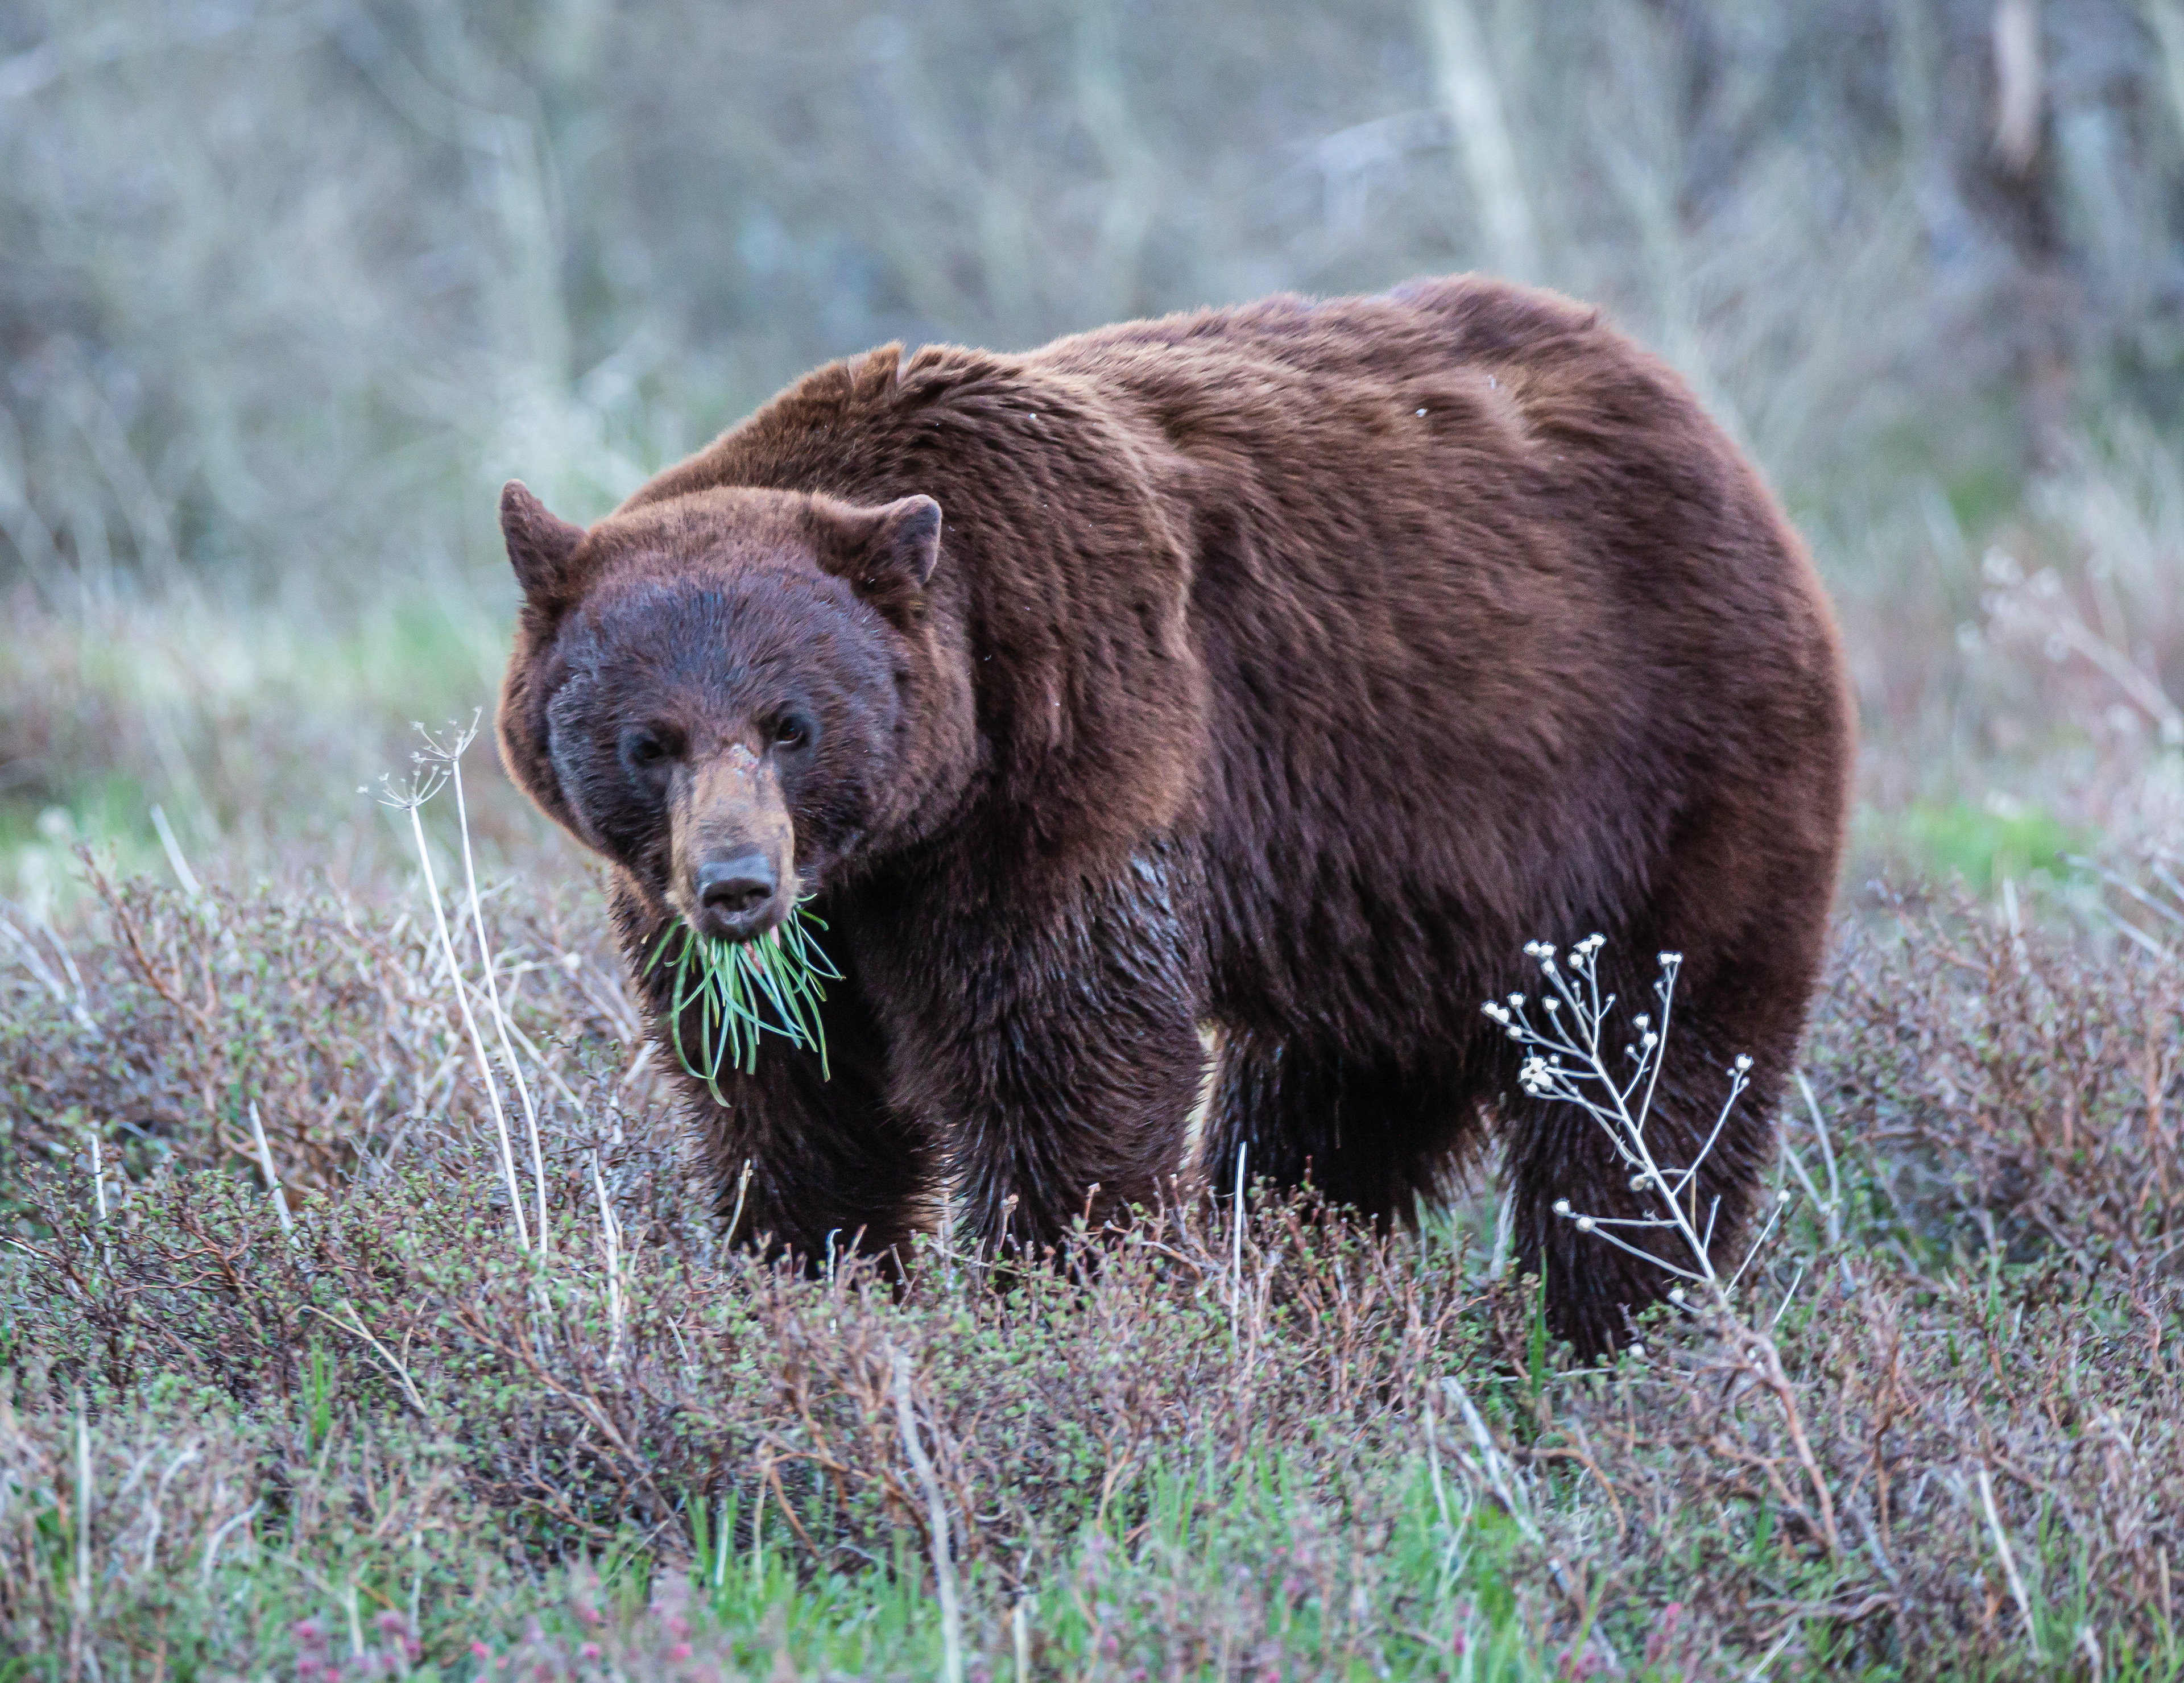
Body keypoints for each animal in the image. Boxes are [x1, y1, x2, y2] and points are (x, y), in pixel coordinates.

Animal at [496, 274, 1853, 1352]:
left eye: (792, 724)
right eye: (650, 741)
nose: (737, 883)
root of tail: (1702, 429)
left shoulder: (1073, 760)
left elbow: (1065, 1060)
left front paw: (1052, 1300)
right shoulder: (768, 912)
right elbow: (786, 1092)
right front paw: (810, 1277)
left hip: (1661, 784)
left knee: (1652, 1084)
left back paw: (1614, 1327)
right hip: (1397, 894)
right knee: (1331, 1113)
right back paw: (1300, 1274)